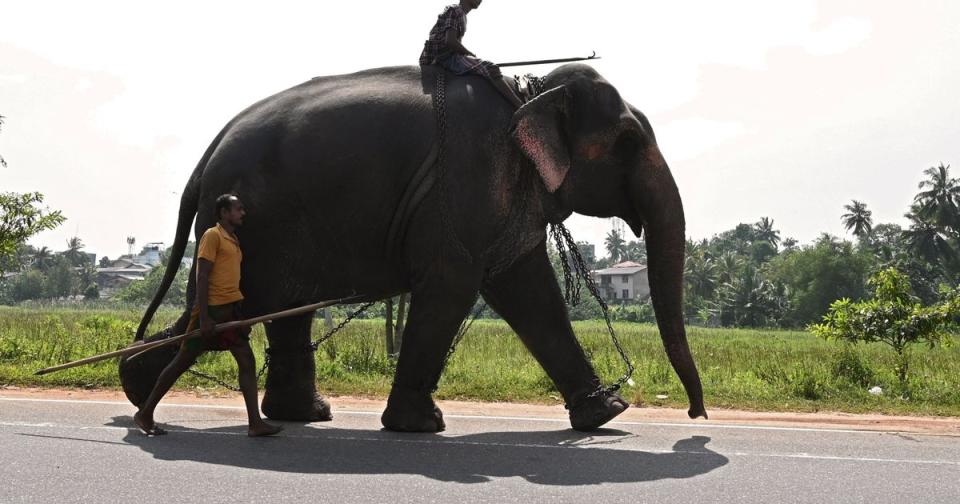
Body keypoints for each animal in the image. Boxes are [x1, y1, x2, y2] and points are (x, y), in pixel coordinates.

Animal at [120, 62, 704, 434]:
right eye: (628, 141)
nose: (696, 416)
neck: (525, 94)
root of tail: (206, 158)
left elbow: (527, 289)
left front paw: (609, 413)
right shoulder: (466, 177)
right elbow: (454, 282)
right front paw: (421, 427)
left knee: (281, 311)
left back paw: (296, 415)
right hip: (255, 229)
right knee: (238, 313)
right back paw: (137, 387)